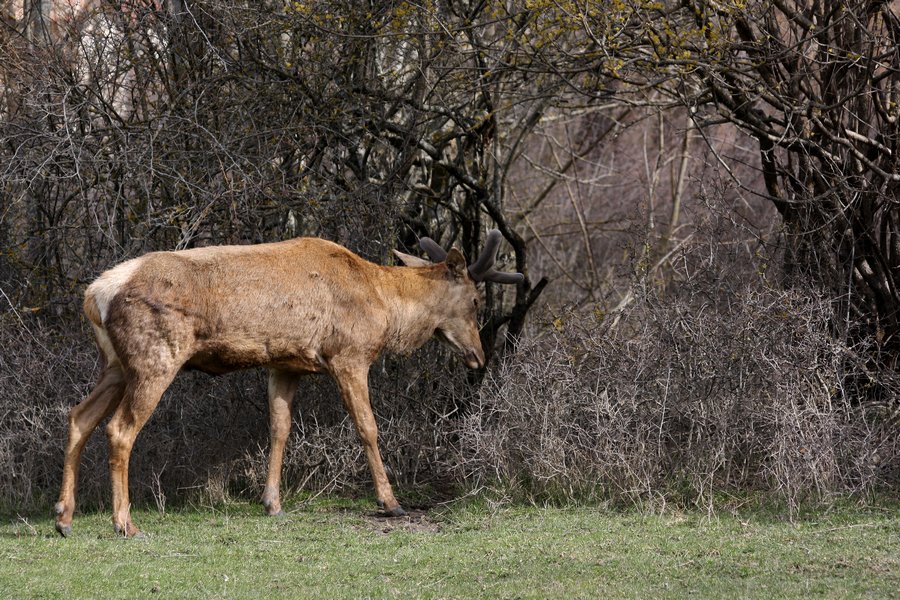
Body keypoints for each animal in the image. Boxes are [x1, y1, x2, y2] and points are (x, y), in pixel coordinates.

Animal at [52, 231, 524, 540]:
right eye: (476, 300)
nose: (479, 356)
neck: (385, 307)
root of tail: (95, 295)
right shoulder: (348, 354)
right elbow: (367, 428)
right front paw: (390, 502)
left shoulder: (285, 364)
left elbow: (279, 429)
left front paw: (272, 503)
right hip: (156, 355)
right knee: (119, 429)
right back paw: (125, 524)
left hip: (116, 364)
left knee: (79, 416)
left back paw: (64, 518)